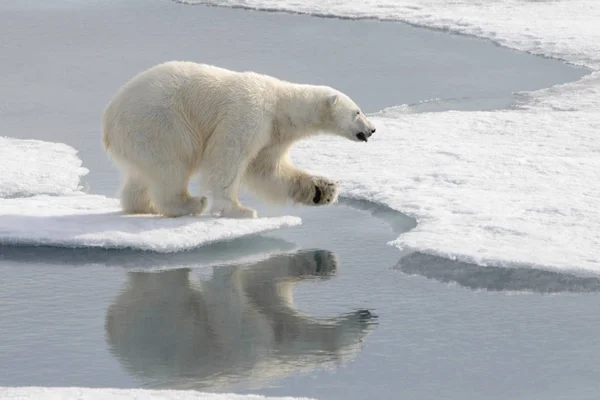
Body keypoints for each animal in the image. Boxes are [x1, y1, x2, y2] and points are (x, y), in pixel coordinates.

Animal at [102, 61, 376, 219]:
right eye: (358, 111)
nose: (372, 129)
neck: (280, 105)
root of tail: (109, 117)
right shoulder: (250, 113)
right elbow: (228, 155)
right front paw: (239, 209)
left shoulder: (273, 134)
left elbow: (267, 169)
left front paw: (323, 190)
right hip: (159, 123)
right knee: (170, 167)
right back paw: (190, 203)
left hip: (136, 137)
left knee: (140, 174)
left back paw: (142, 206)